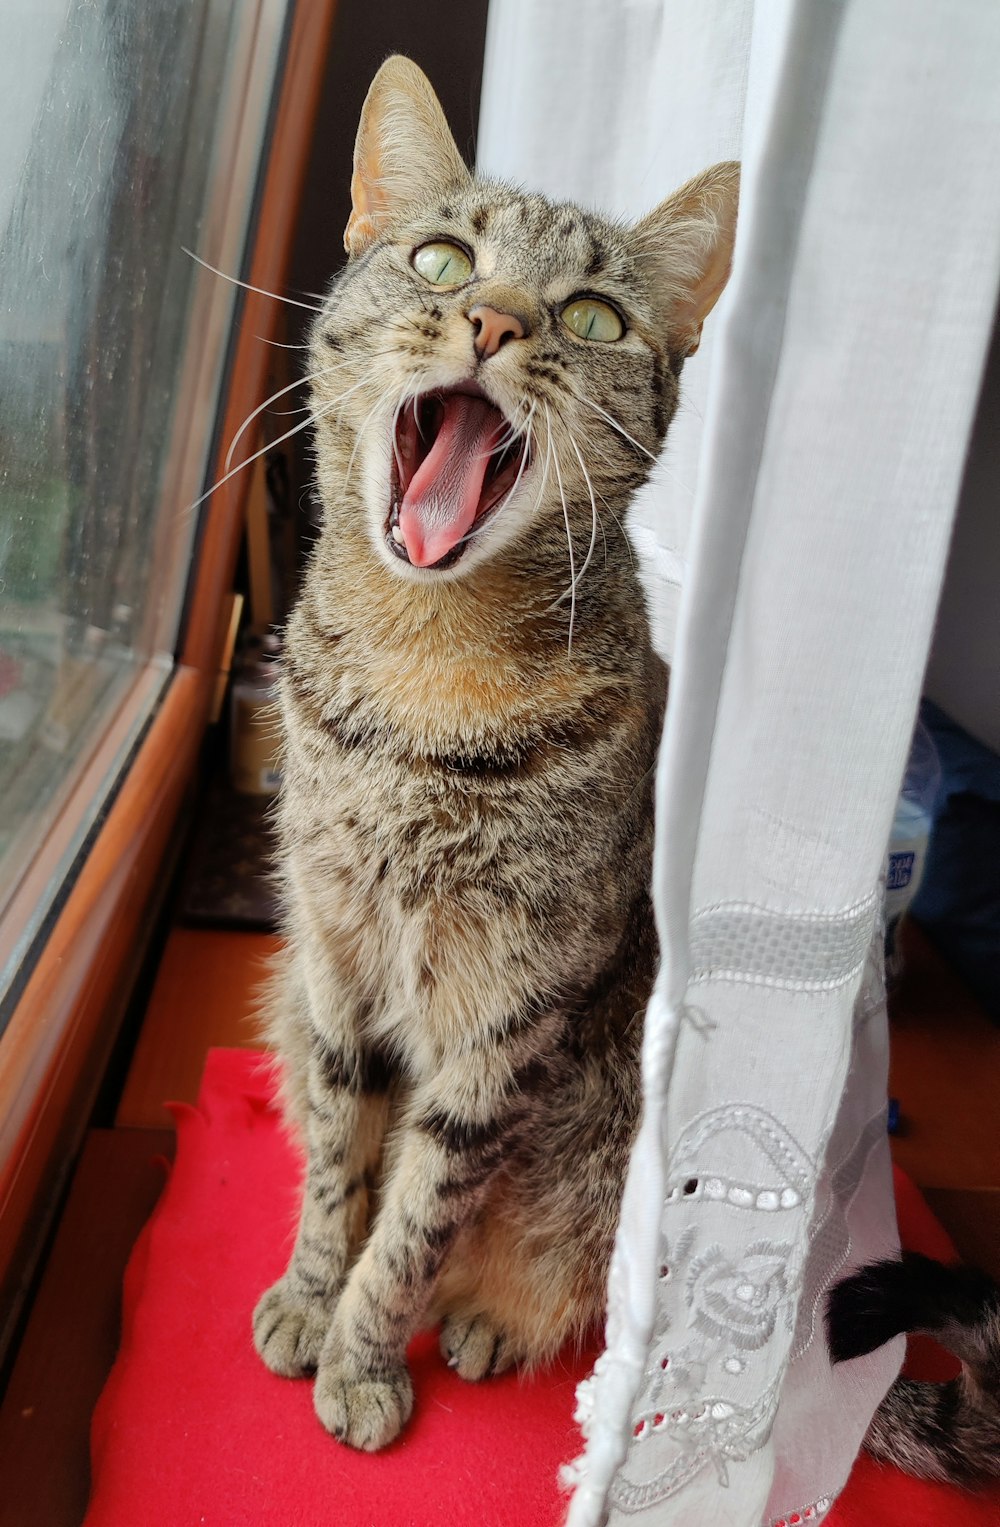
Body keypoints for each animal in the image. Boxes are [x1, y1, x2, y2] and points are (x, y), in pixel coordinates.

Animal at [251, 53, 1000, 1484]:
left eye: (592, 316)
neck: (424, 670)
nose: (493, 324)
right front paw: (314, 1298)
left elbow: (416, 1214)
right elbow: (332, 1164)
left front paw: (364, 1356)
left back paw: (493, 1322)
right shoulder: (329, 957)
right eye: (441, 259)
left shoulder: (503, 1012)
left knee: (571, 1275)